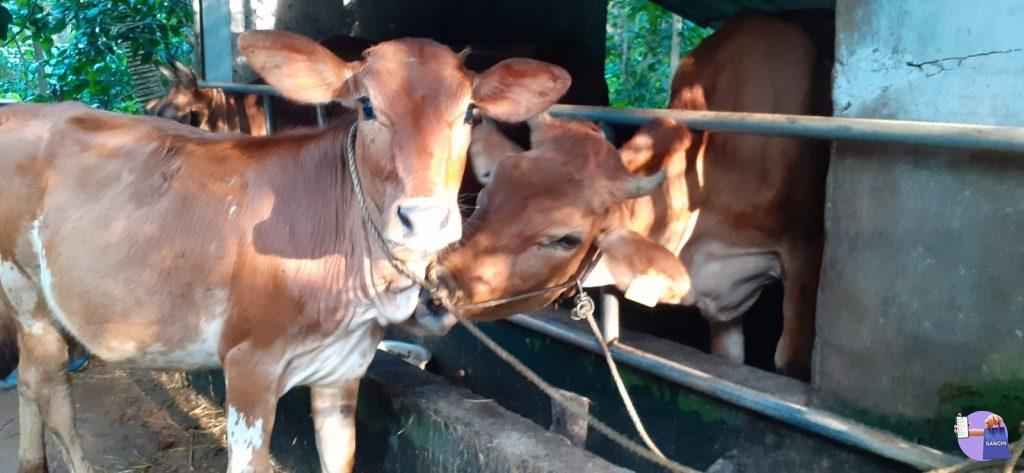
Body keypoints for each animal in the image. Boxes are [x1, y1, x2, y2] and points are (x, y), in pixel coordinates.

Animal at [0, 29, 569, 473]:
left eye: (470, 112)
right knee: (49, 385)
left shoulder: (345, 369)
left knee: (29, 378)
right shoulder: (247, 366)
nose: (425, 218)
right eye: (366, 107)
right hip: (24, 288)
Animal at [422, 11, 833, 380]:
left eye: (566, 239)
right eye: (487, 193)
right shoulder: (722, 308)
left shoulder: (806, 252)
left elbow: (788, 363)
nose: (434, 293)